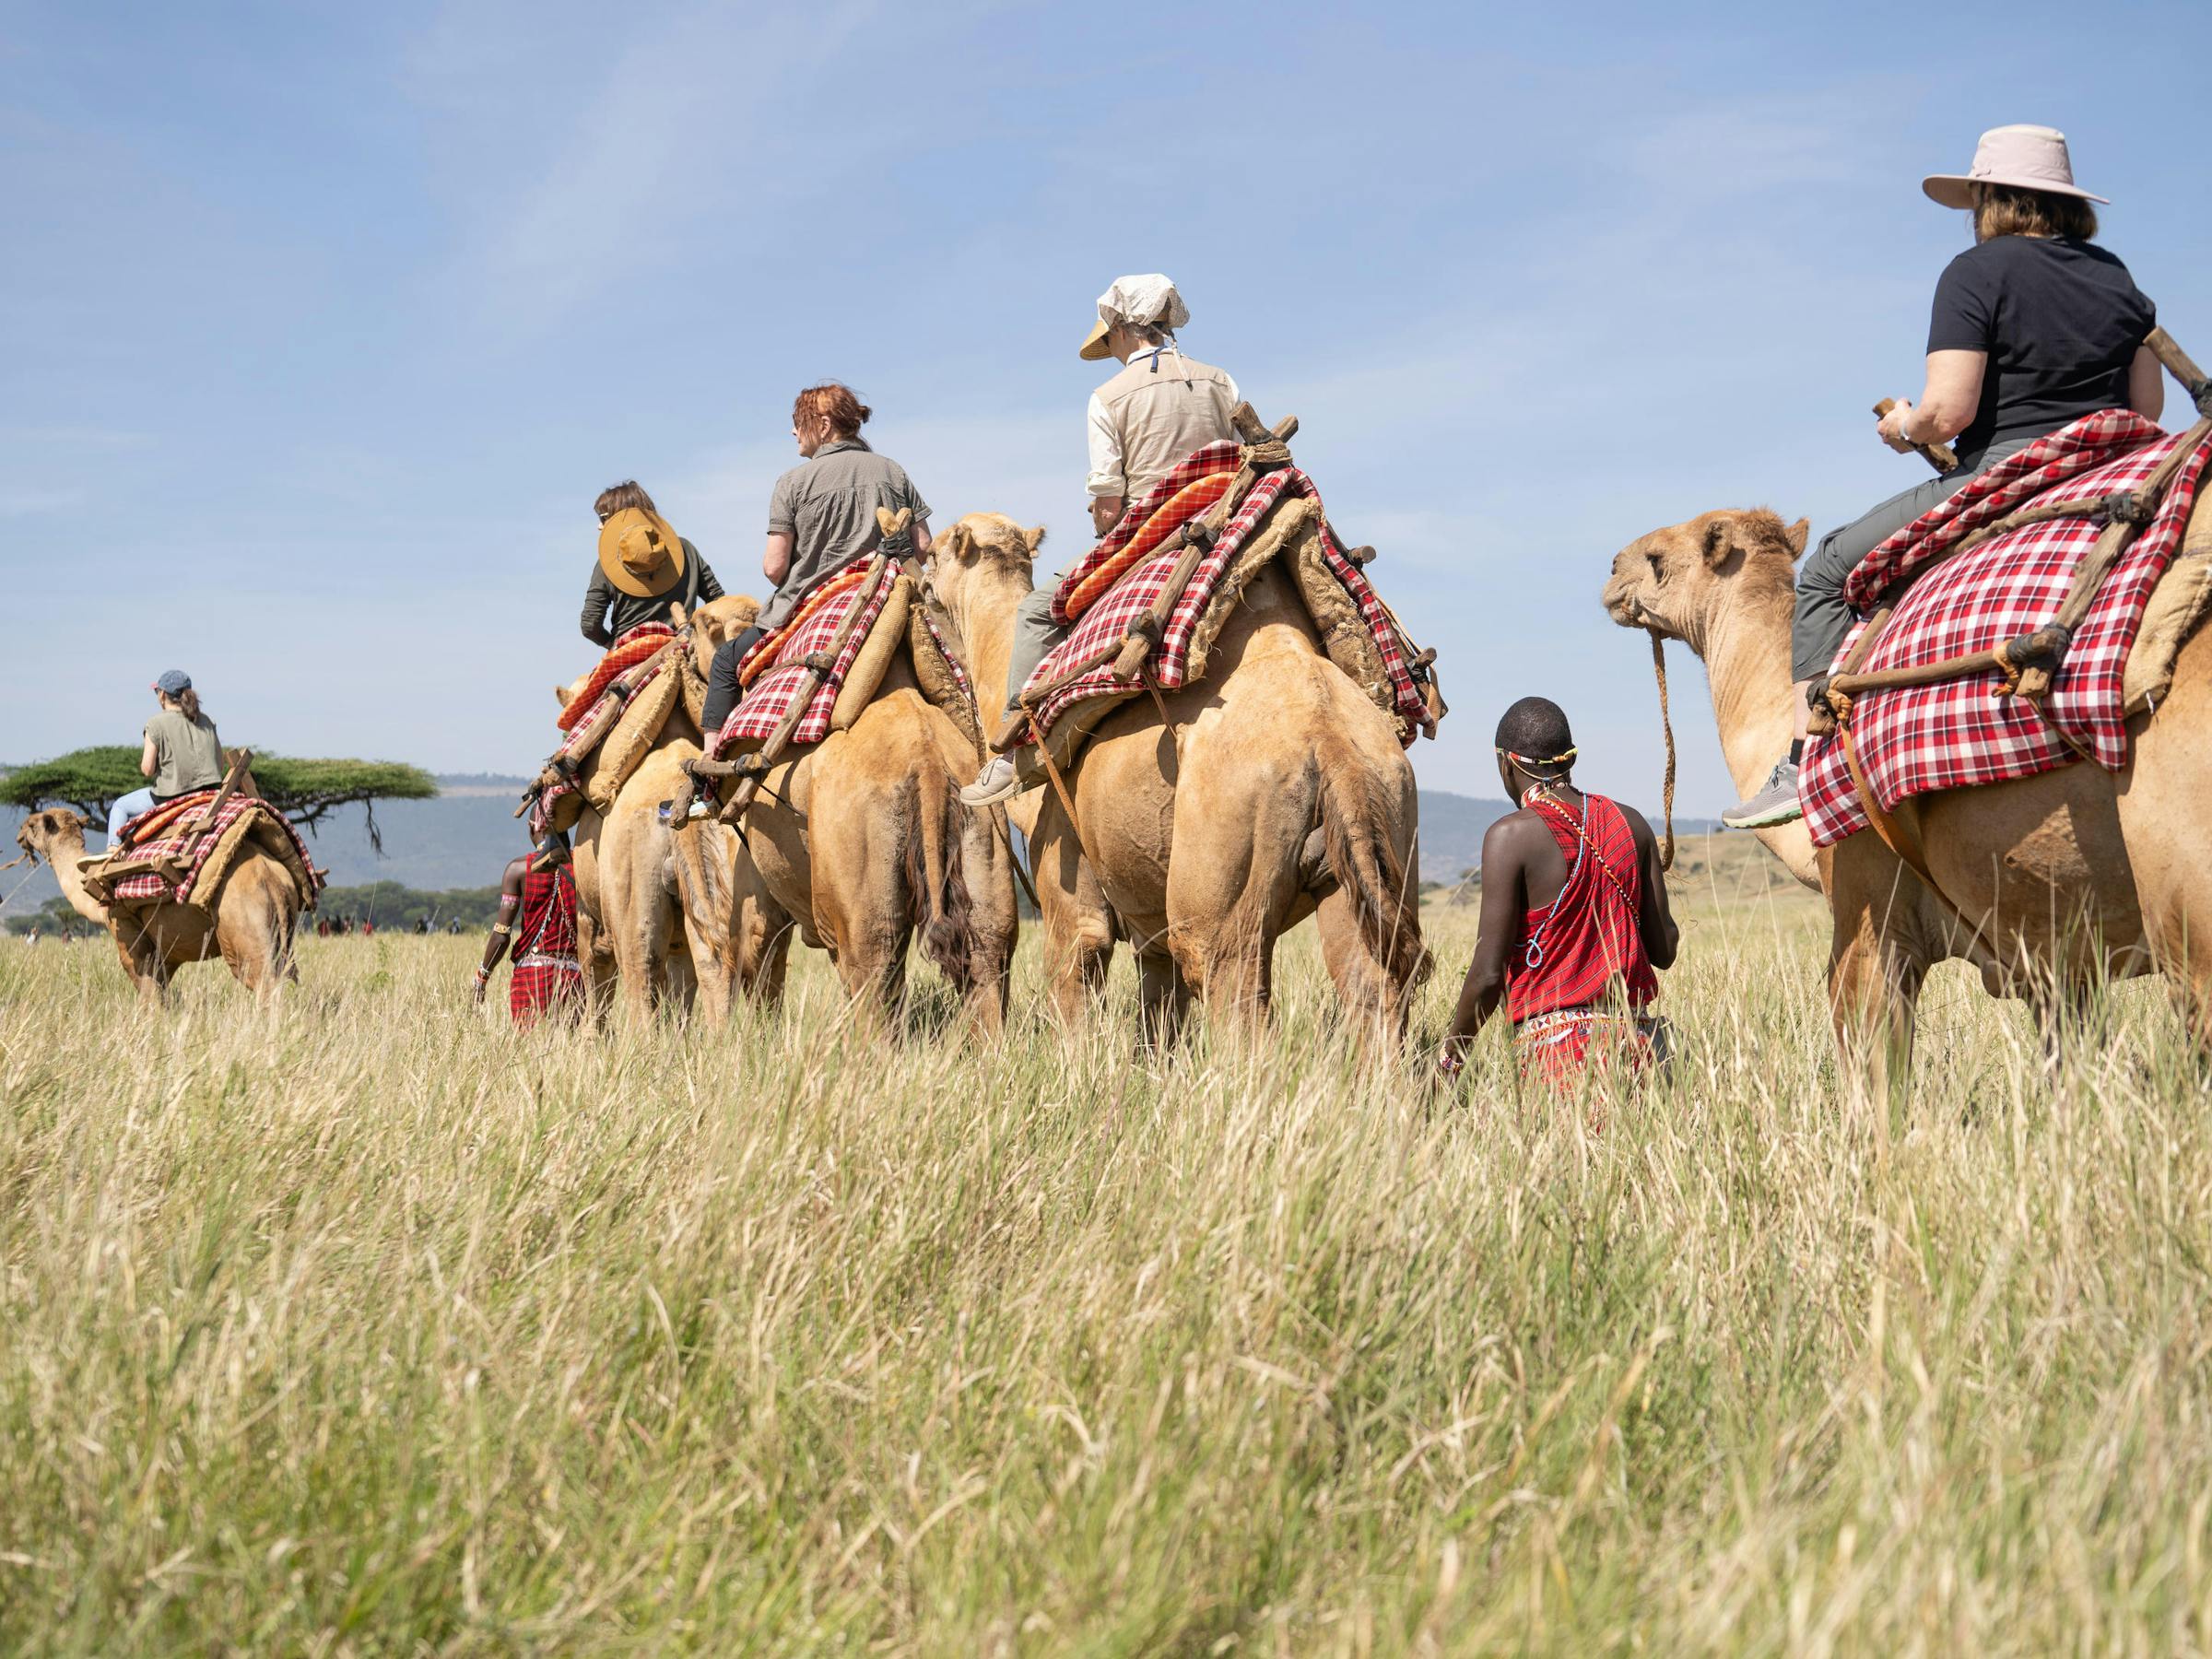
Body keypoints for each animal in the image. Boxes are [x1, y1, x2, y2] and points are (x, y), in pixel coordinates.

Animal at [13, 808, 302, 1005]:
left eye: (32, 825)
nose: (18, 835)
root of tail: (272, 877)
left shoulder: (127, 932)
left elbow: (148, 993)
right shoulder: (165, 948)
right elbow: (163, 992)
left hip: (241, 922)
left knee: (262, 980)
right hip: (282, 927)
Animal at [551, 597, 751, 1026]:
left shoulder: (588, 916)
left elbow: (595, 982)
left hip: (633, 898)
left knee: (640, 974)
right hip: (728, 880)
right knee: (716, 967)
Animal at [687, 595, 1017, 1036]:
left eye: (699, 627)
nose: (686, 651)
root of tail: (927, 762)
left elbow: (756, 941)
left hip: (857, 842)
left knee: (870, 961)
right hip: (982, 826)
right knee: (986, 951)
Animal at [925, 512, 1429, 1044]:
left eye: (937, 552)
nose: (922, 577)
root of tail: (1330, 742)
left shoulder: (1065, 862)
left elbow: (1077, 970)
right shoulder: (1148, 921)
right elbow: (1160, 1010)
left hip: (1224, 858)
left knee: (1231, 984)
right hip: (1388, 817)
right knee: (1371, 983)